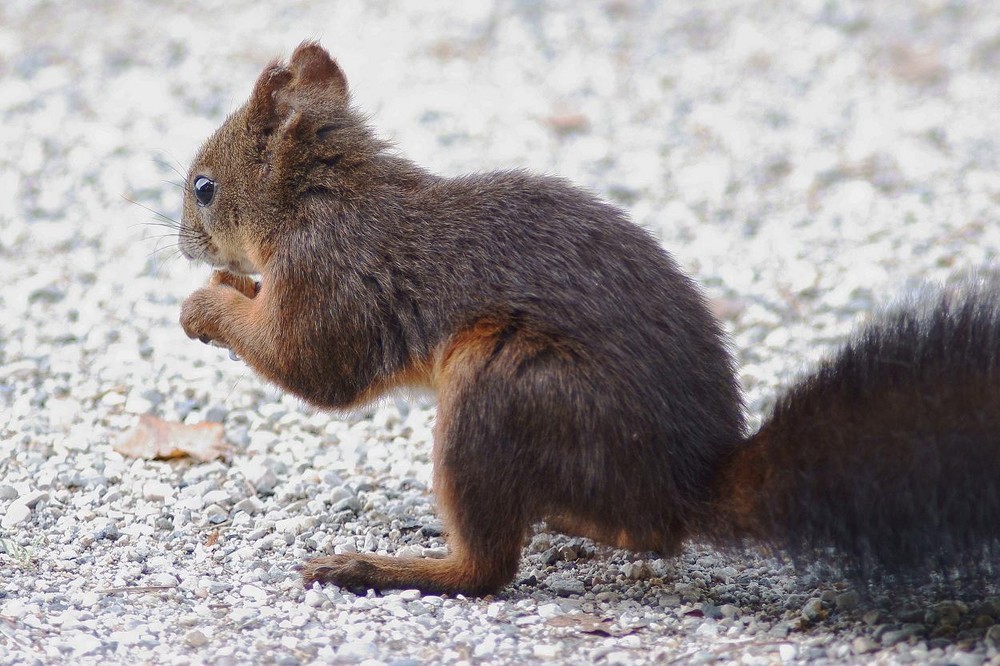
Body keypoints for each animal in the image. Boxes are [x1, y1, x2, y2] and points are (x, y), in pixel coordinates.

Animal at [178, 40, 1000, 592]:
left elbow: (313, 367)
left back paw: (379, 567)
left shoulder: (334, 278)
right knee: (648, 535)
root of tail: (685, 481)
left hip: (503, 385)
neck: (327, 197)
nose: (184, 244)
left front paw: (204, 304)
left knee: (489, 571)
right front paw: (228, 285)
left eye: (203, 188)